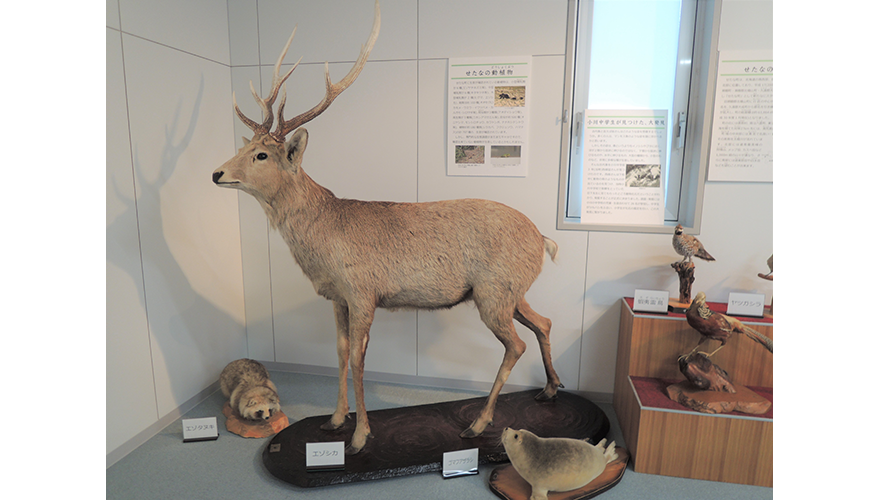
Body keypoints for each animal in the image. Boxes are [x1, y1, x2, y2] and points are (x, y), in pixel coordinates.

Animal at [210, 0, 560, 454]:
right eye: (246, 147)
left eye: (262, 155)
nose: (217, 173)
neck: (324, 243)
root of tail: (544, 239)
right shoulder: (338, 297)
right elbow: (340, 352)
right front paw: (335, 420)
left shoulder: (363, 291)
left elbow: (360, 359)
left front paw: (360, 435)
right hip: (513, 291)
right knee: (544, 322)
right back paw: (550, 390)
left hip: (494, 290)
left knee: (515, 344)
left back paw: (478, 424)